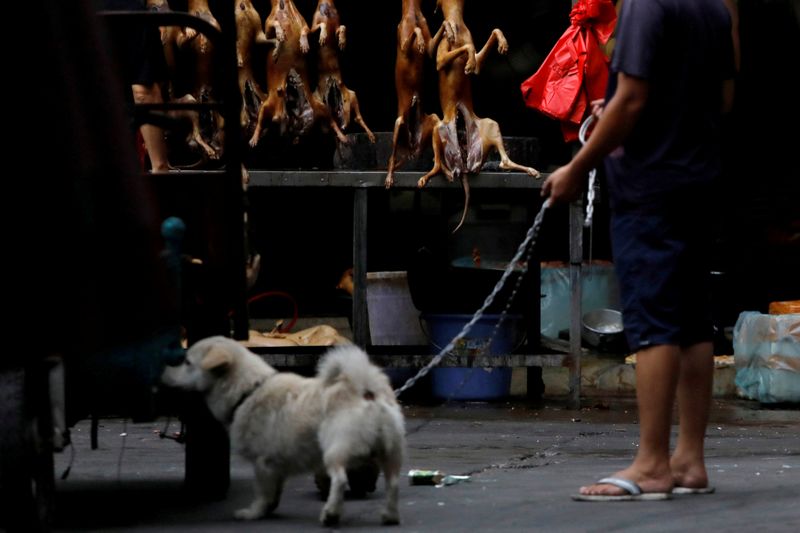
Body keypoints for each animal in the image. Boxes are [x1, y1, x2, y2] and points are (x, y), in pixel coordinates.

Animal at [161, 334, 406, 524]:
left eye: (187, 362)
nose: (163, 371)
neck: (247, 391)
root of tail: (366, 390)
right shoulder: (277, 467)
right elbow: (273, 494)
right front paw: (268, 509)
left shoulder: (263, 463)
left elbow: (262, 492)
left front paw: (253, 513)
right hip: (390, 453)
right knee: (393, 483)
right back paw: (390, 516)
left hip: (335, 450)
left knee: (340, 480)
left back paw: (331, 514)